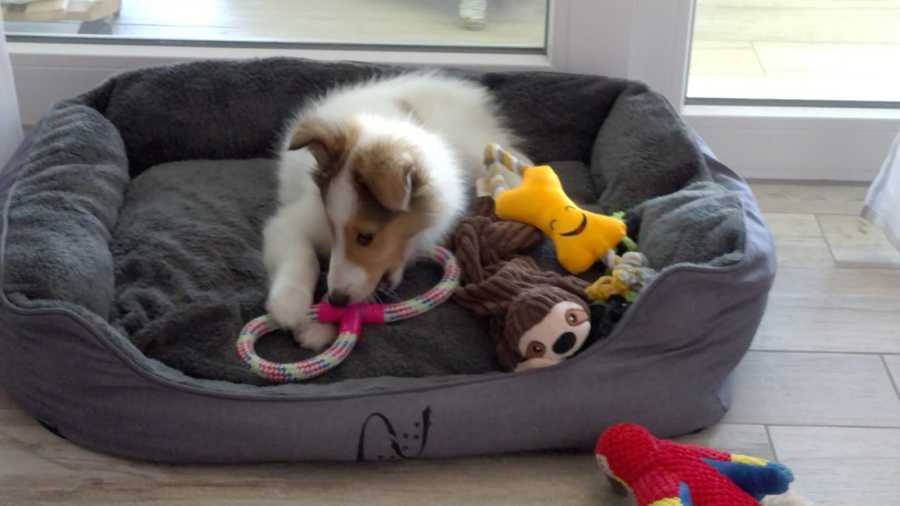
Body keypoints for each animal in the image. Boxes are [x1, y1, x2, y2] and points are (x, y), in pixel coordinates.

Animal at [263, 71, 523, 350]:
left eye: (366, 237)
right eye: (332, 228)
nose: (336, 300)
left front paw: (317, 322)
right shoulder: (293, 222)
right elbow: (302, 256)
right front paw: (290, 305)